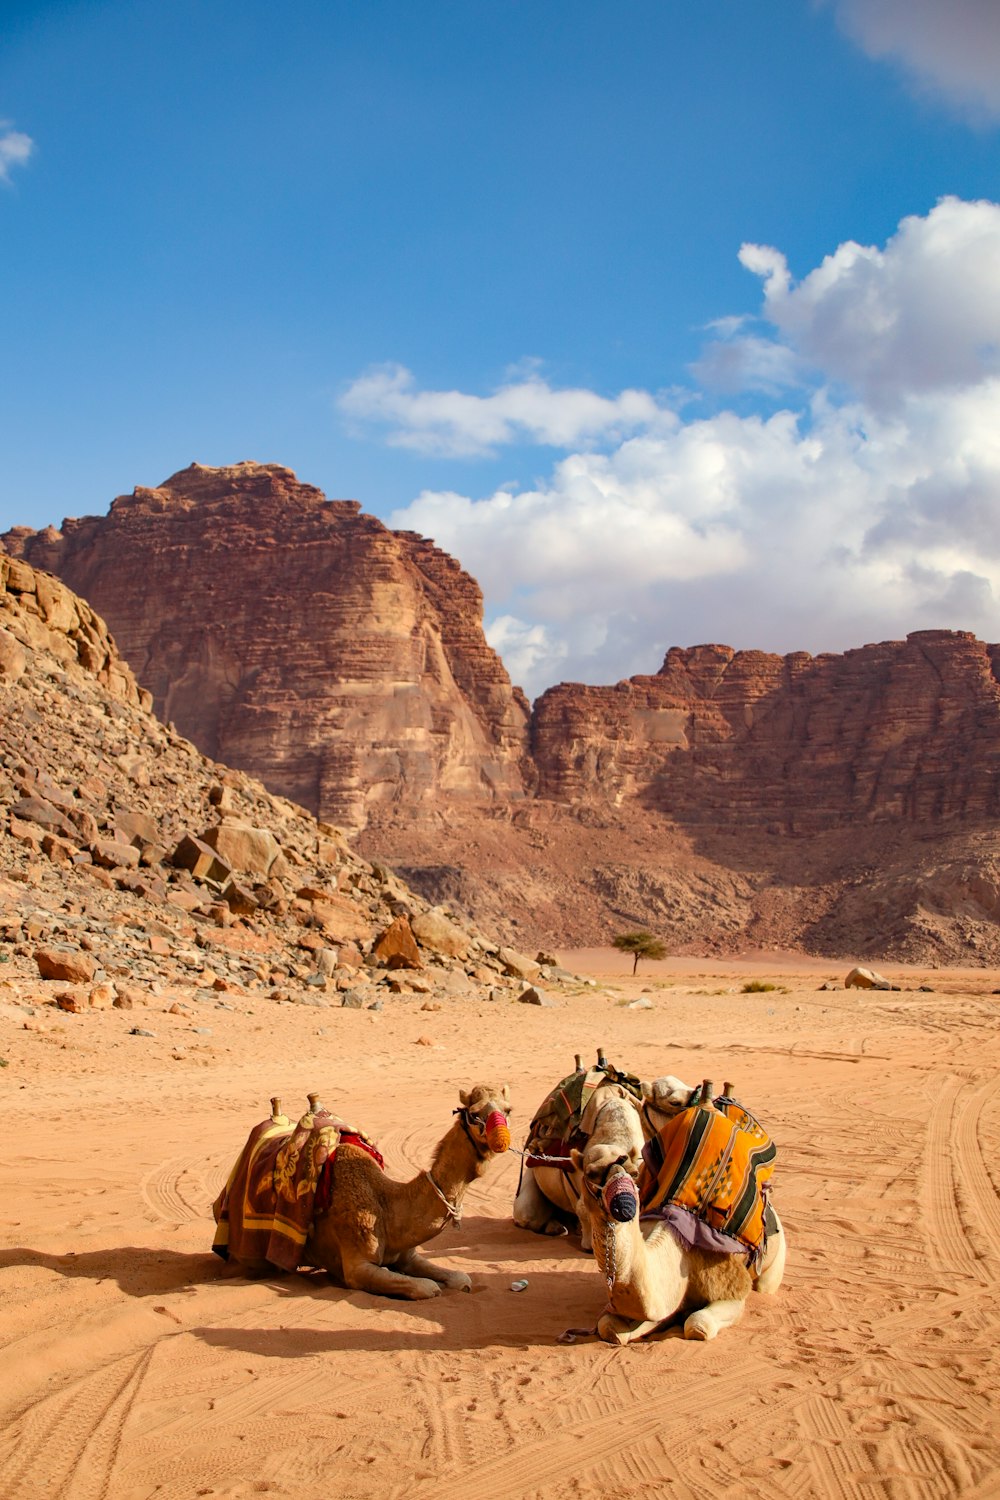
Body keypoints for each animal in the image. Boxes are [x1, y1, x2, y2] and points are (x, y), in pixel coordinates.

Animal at [575, 1080, 785, 1350]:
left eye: (633, 1173)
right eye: (591, 1173)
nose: (623, 1205)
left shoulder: (731, 1289)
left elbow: (697, 1325)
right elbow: (609, 1327)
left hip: (773, 1266)